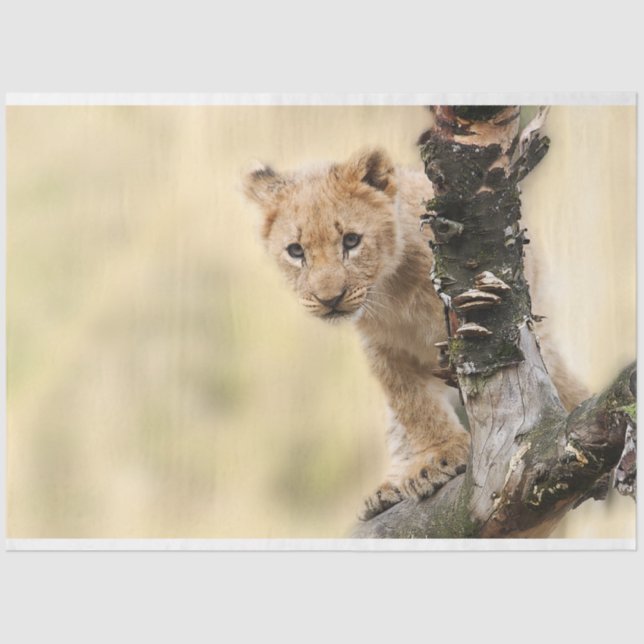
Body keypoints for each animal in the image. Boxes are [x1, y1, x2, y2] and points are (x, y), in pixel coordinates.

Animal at [243, 148, 588, 520]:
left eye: (351, 240)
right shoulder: (382, 349)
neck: (390, 290)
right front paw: (436, 457)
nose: (329, 300)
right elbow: (410, 403)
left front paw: (442, 458)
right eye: (296, 251)